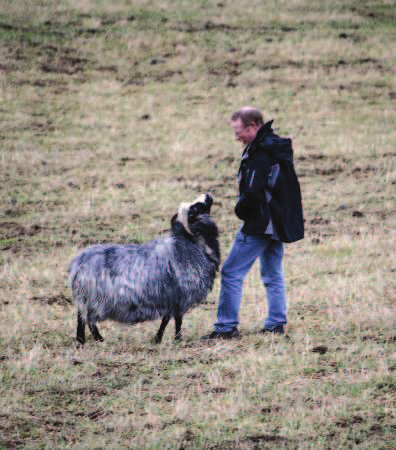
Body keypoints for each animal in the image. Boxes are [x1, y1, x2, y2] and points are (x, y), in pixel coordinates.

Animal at [66, 192, 218, 344]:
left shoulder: (173, 299)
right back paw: (93, 339)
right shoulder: (178, 298)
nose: (207, 194)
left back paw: (86, 339)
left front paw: (163, 338)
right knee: (85, 318)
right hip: (93, 298)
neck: (188, 244)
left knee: (84, 317)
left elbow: (170, 319)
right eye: (195, 208)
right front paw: (173, 339)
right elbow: (173, 320)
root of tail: (77, 263)